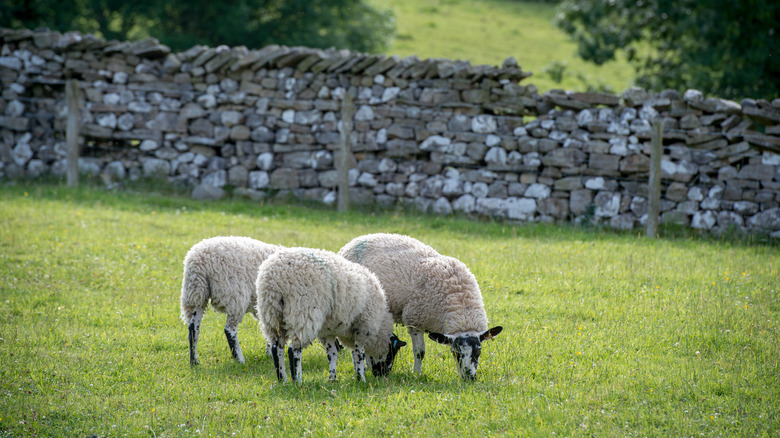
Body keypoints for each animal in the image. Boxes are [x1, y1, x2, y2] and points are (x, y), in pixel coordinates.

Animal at [181, 236, 284, 366]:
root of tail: (198, 261)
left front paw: (269, 353)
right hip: (234, 295)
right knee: (229, 329)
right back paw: (239, 359)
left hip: (196, 293)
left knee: (193, 327)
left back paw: (194, 361)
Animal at [258, 246, 408, 384]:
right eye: (391, 353)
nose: (382, 375)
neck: (379, 325)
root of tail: (275, 279)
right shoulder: (362, 327)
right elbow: (359, 355)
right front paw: (361, 379)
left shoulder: (328, 331)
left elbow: (333, 354)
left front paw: (333, 379)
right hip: (302, 313)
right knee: (293, 350)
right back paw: (297, 381)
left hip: (271, 315)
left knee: (277, 348)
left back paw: (282, 379)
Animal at [338, 233, 502, 380]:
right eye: (456, 353)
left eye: (478, 352)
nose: (470, 378)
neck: (460, 302)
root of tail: (353, 241)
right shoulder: (415, 321)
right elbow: (419, 352)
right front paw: (416, 374)